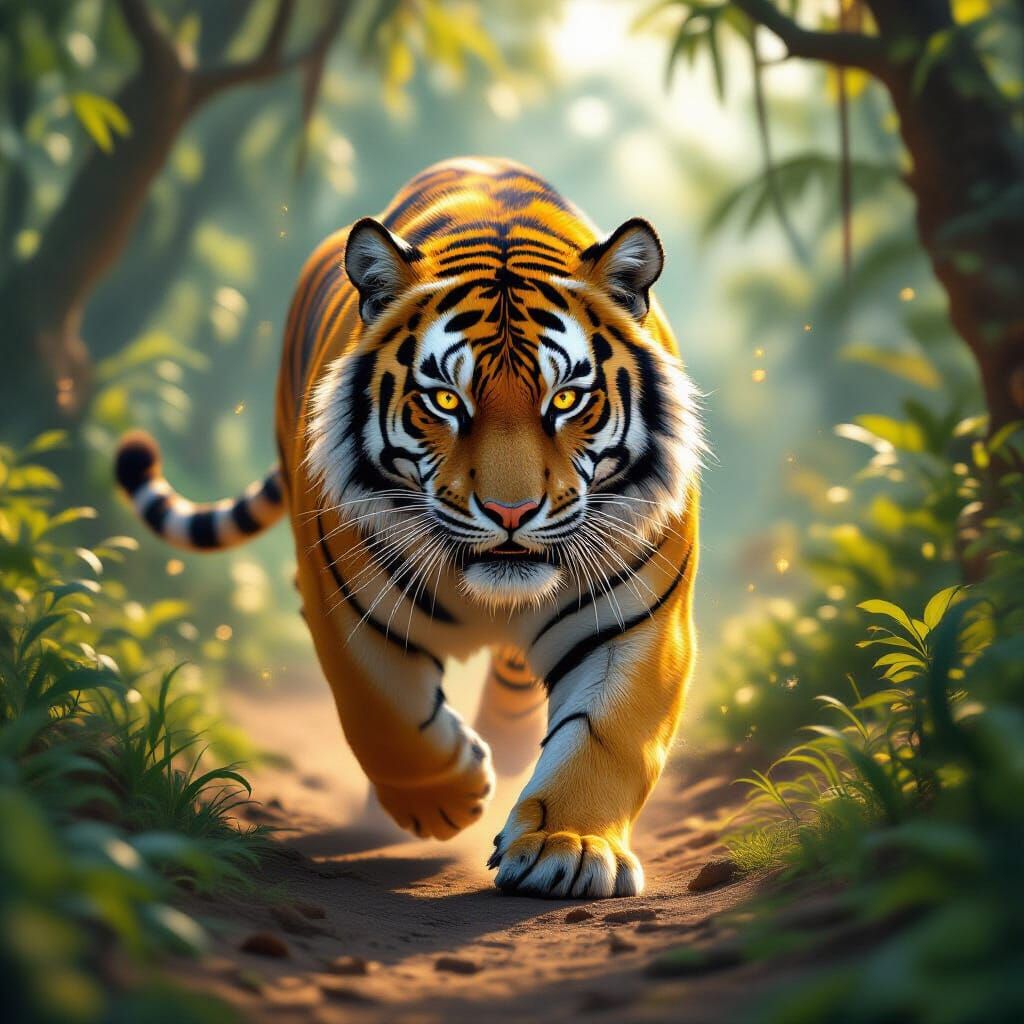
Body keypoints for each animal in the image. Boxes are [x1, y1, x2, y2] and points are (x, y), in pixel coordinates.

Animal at [115, 157, 702, 899]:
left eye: (567, 398)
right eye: (445, 400)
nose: (511, 513)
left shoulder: (637, 620)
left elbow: (606, 733)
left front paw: (566, 846)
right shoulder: (345, 602)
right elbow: (384, 714)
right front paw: (446, 798)